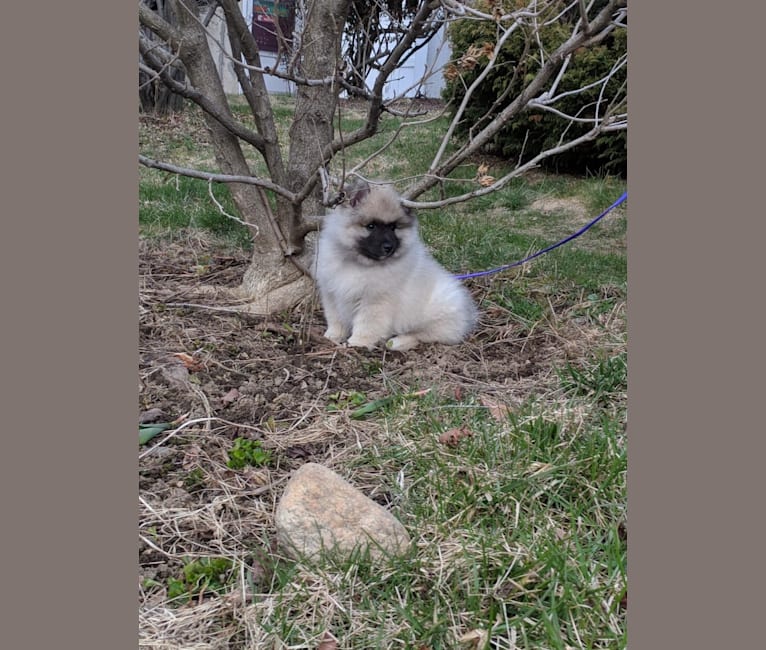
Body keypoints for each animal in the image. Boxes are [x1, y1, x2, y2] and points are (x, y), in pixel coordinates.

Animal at [316, 180, 476, 350]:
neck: (358, 263)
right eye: (371, 226)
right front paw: (333, 336)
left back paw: (397, 342)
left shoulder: (374, 302)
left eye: (393, 227)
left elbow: (366, 325)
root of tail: (469, 314)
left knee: (420, 335)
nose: (389, 247)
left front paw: (358, 343)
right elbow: (335, 318)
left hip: (435, 314)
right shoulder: (331, 294)